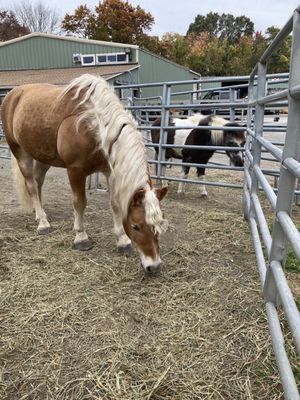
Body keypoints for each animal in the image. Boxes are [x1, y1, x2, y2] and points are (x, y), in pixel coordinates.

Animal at [1, 73, 168, 274]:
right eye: (136, 226)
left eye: (159, 224)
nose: (154, 266)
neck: (95, 124)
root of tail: (13, 94)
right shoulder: (75, 171)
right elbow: (79, 203)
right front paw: (81, 237)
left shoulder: (109, 171)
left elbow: (115, 204)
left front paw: (122, 241)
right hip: (20, 153)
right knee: (31, 185)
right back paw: (42, 222)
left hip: (42, 156)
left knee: (38, 181)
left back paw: (38, 211)